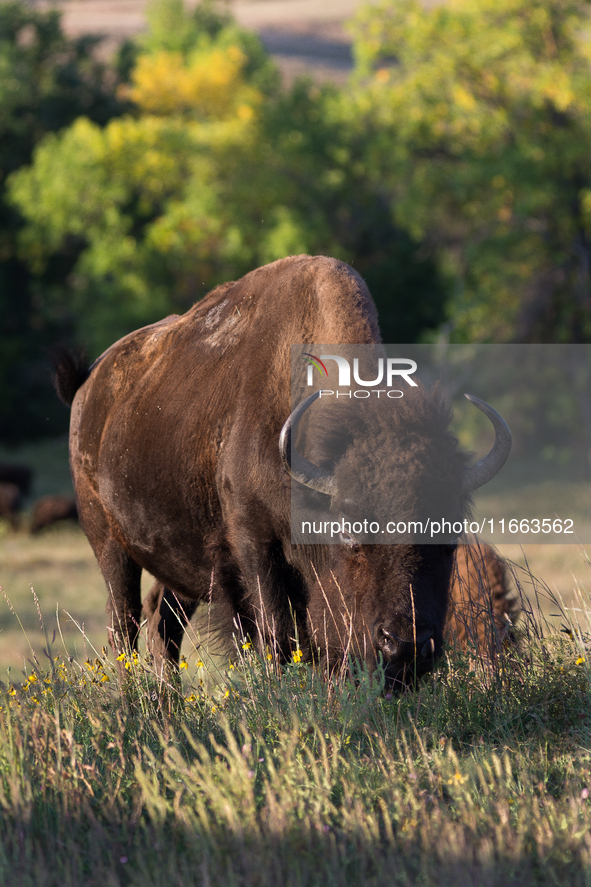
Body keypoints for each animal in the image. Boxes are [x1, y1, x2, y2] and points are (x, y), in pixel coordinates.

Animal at [53, 255, 512, 688]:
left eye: (449, 536)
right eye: (350, 535)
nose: (405, 645)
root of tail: (89, 384)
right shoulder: (254, 544)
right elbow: (277, 634)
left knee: (162, 620)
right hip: (106, 540)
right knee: (124, 621)